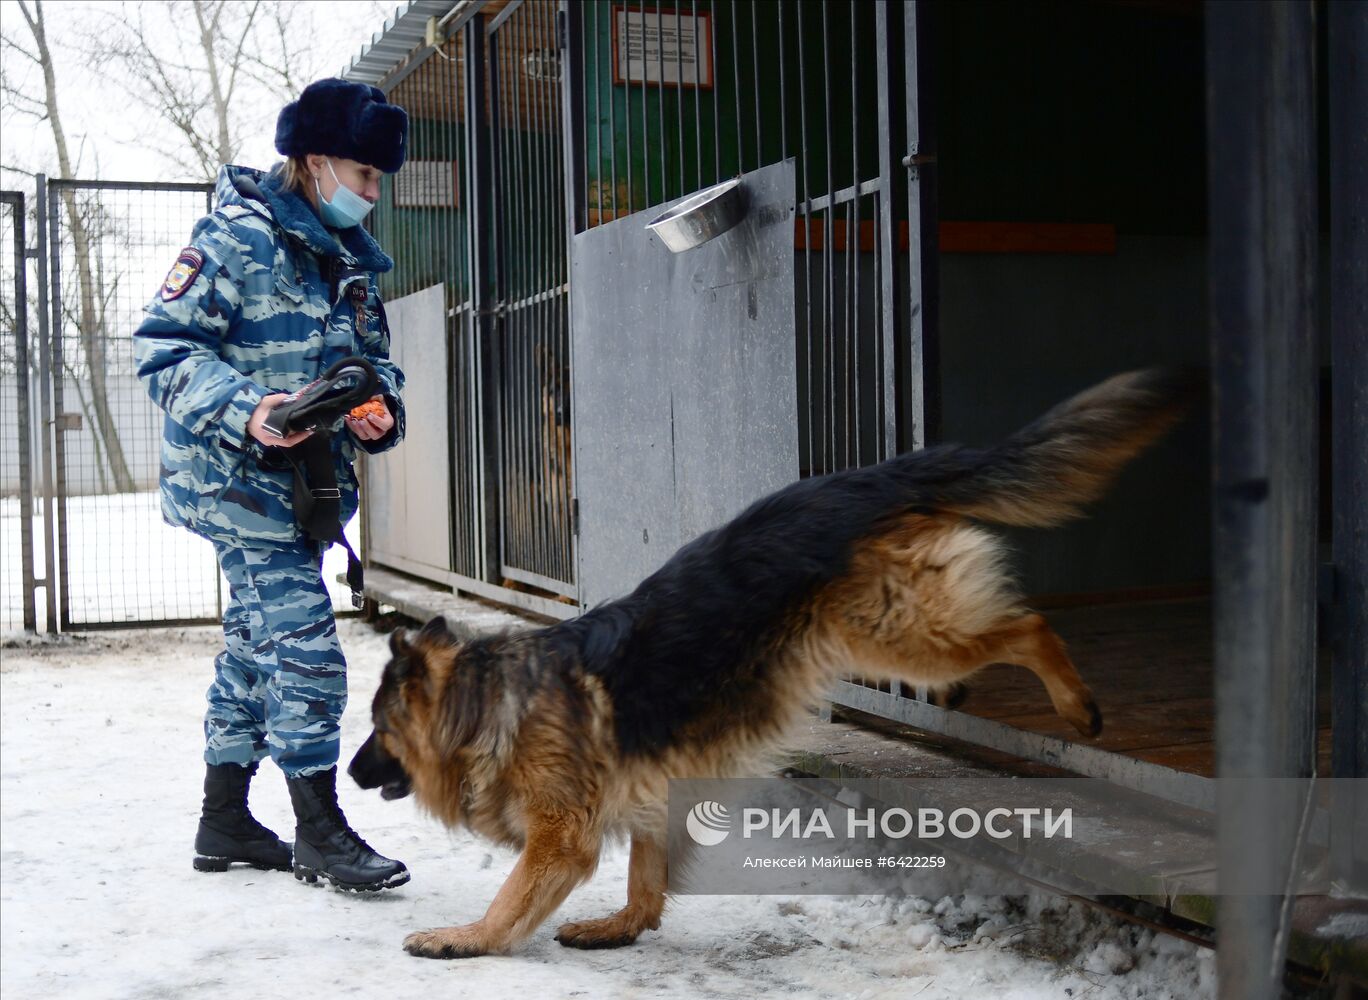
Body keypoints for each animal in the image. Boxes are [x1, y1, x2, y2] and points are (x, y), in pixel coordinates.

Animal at [352, 369, 1198, 963]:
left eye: (377, 730)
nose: (350, 774)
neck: (488, 702)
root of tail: (862, 478)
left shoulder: (560, 837)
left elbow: (511, 900)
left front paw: (464, 938)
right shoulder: (651, 788)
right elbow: (646, 880)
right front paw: (623, 926)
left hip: (894, 633)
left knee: (1028, 623)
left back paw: (1078, 707)